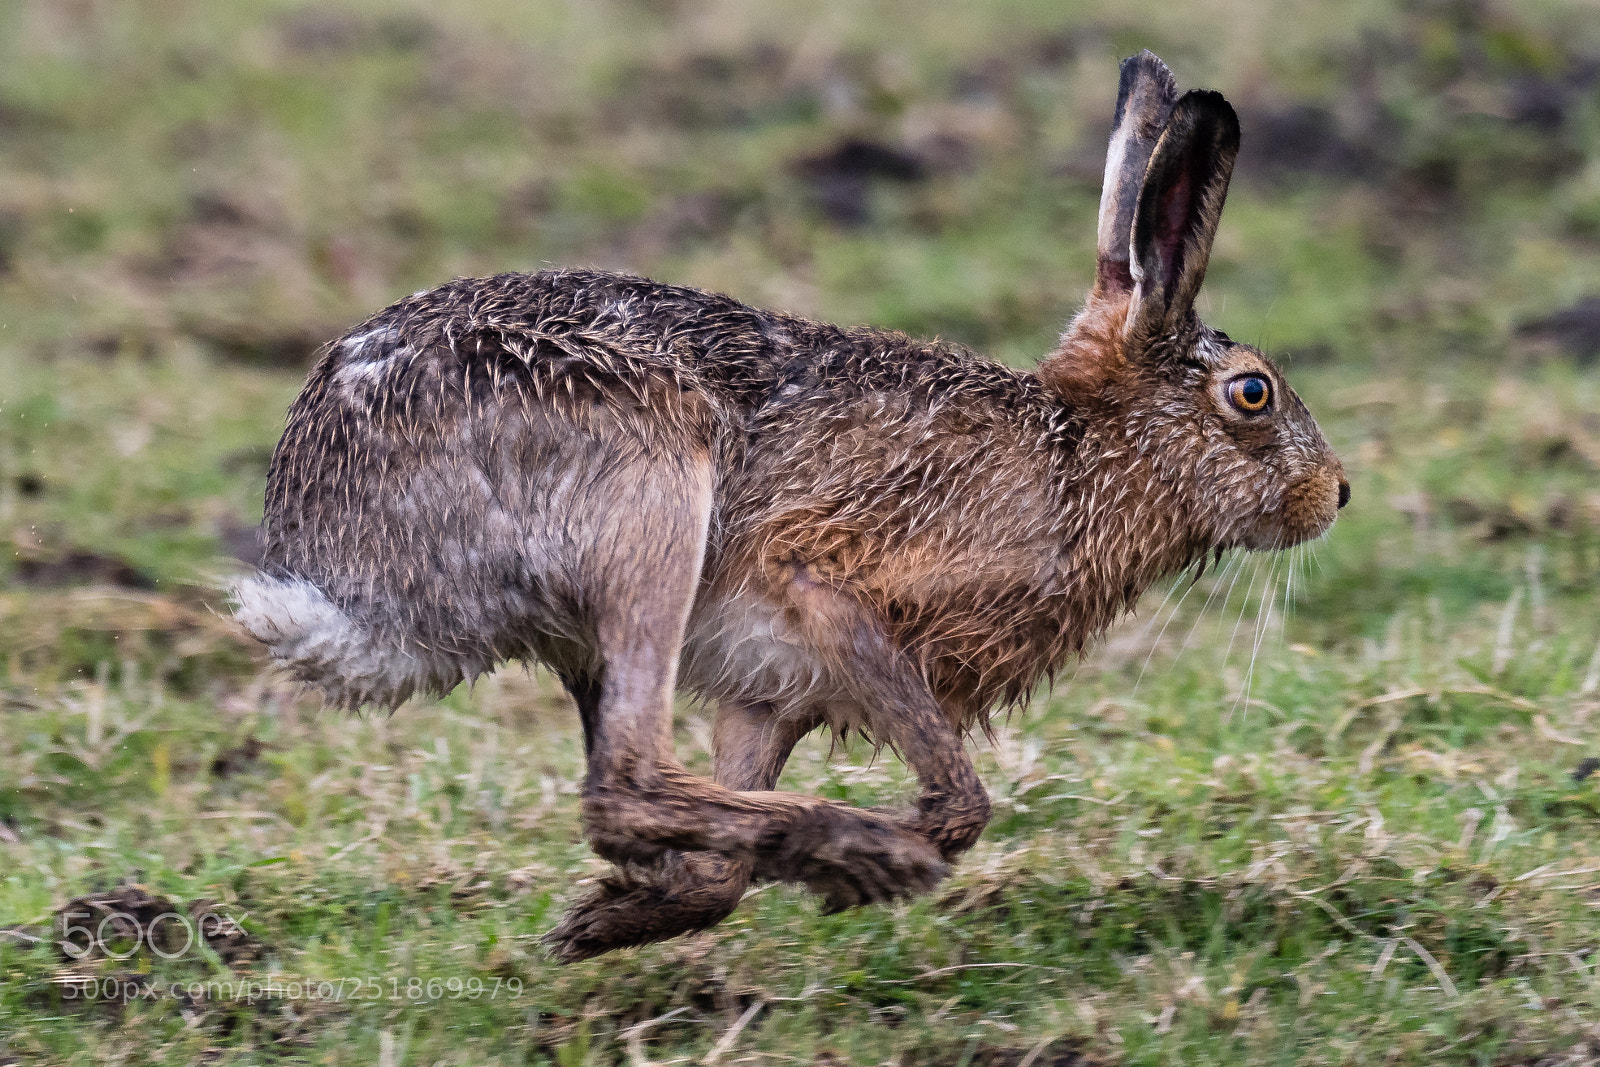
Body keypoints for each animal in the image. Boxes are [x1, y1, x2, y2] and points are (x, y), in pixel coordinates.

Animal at [233, 51, 1348, 962]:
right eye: (1252, 393)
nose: (1334, 494)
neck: (1086, 450)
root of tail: (333, 562)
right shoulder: (825, 587)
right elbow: (959, 798)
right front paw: (889, 853)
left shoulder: (771, 690)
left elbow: (724, 856)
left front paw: (626, 911)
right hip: (650, 494)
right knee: (625, 780)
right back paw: (852, 849)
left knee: (632, 786)